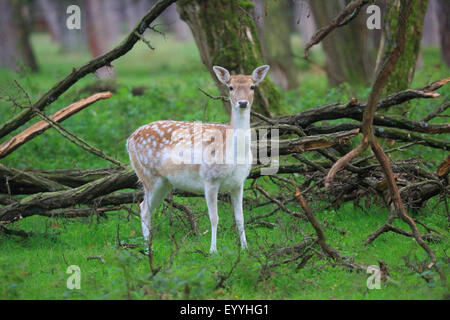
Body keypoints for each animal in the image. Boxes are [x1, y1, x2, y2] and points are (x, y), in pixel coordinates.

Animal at [125, 65, 268, 254]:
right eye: (230, 87)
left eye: (252, 87)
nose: (243, 103)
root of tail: (129, 140)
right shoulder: (210, 178)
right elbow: (214, 217)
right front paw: (213, 251)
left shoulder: (238, 183)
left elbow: (240, 218)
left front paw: (245, 248)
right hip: (148, 175)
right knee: (143, 209)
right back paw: (148, 249)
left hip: (165, 182)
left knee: (144, 207)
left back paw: (149, 247)